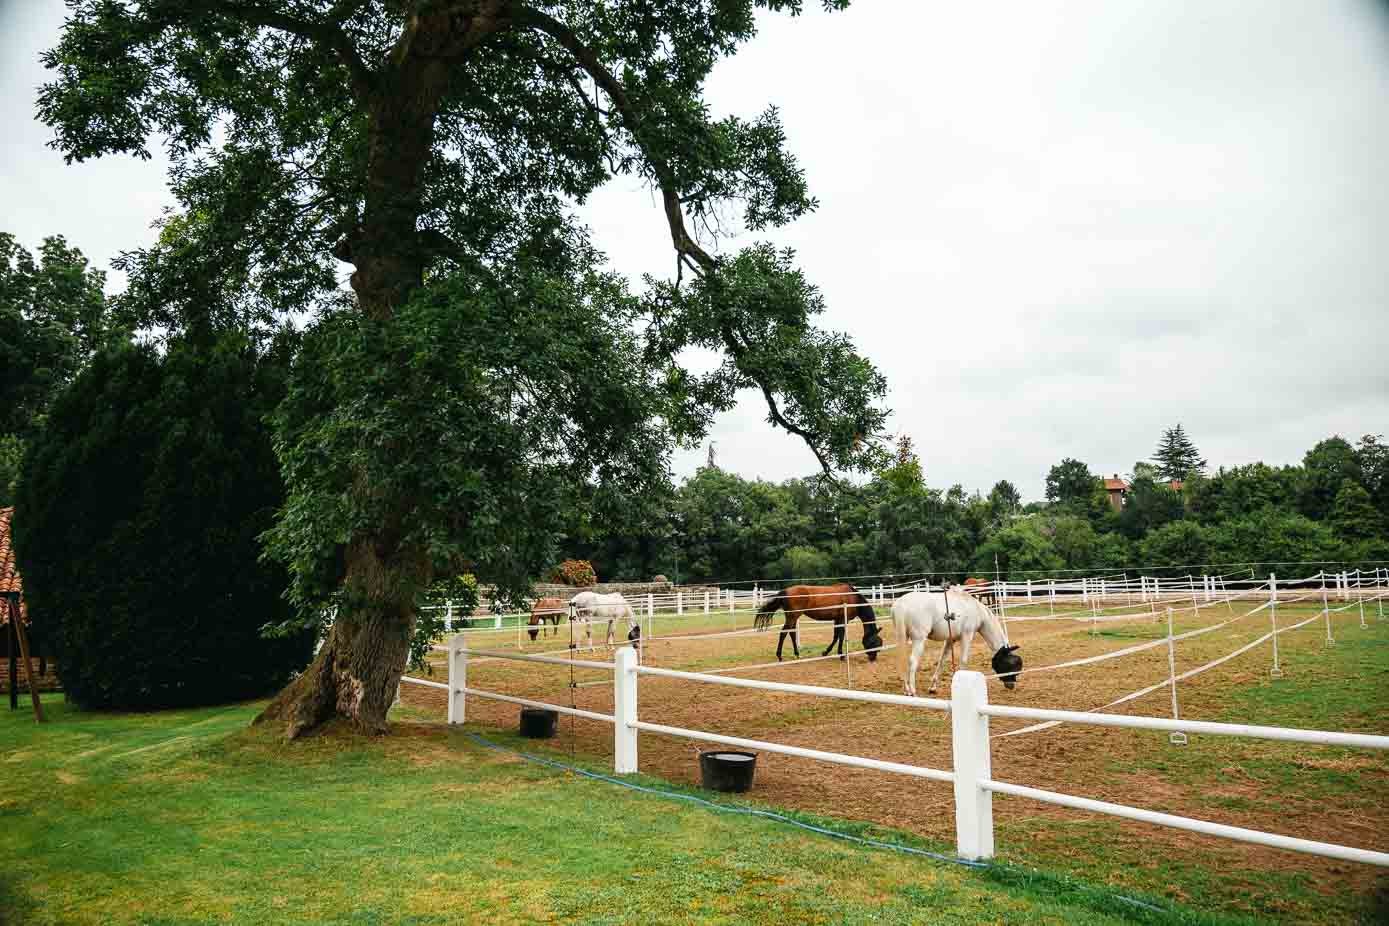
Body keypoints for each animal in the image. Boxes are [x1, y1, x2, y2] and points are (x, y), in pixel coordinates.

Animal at [755, 583, 883, 663]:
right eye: (874, 642)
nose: (873, 658)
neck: (853, 597)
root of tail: (785, 591)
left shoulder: (837, 620)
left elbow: (836, 636)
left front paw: (825, 652)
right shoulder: (843, 620)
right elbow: (841, 636)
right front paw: (841, 655)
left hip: (793, 617)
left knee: (791, 633)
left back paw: (797, 654)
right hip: (792, 617)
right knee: (784, 633)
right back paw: (780, 656)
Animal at [888, 585, 1022, 694]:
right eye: (1010, 665)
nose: (1011, 686)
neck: (975, 608)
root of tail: (901, 605)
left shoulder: (949, 640)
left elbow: (942, 660)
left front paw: (933, 687)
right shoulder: (967, 636)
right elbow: (963, 660)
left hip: (902, 638)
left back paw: (906, 689)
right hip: (919, 640)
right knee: (912, 661)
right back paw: (912, 690)